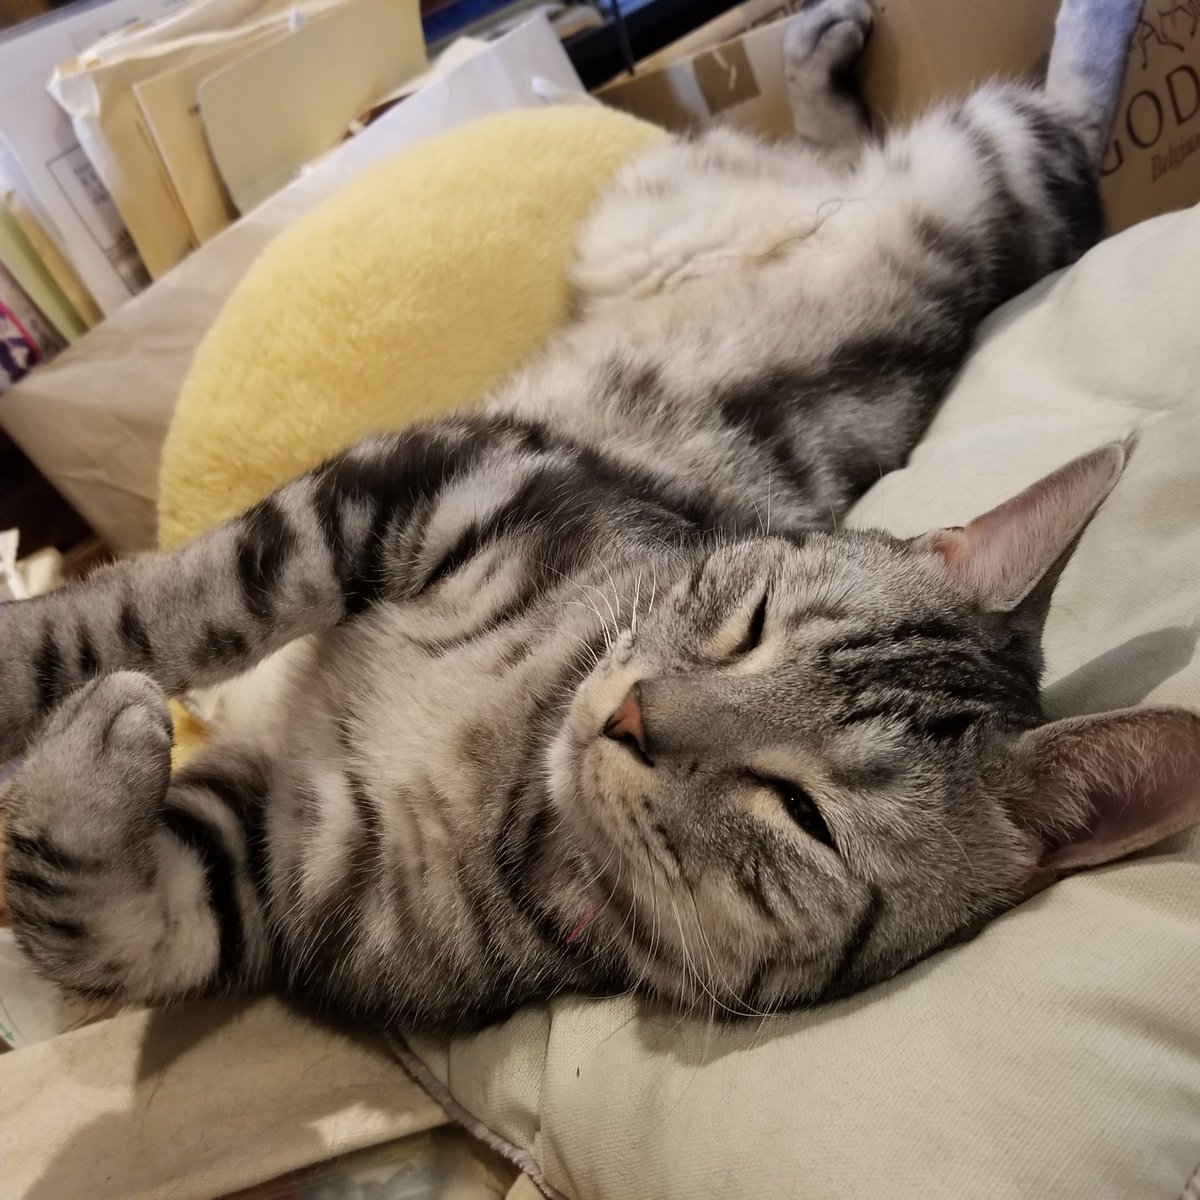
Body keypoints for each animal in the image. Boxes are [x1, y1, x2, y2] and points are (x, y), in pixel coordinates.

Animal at [2, 0, 1197, 1036]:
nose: (631, 717)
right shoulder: (435, 480)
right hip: (662, 207)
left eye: (801, 814)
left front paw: (91, 737)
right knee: (839, 146)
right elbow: (180, 607)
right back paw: (823, 56)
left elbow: (108, 927)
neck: (512, 767)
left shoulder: (278, 867)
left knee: (1068, 113)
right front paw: (49, 678)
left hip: (995, 173)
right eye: (750, 625)